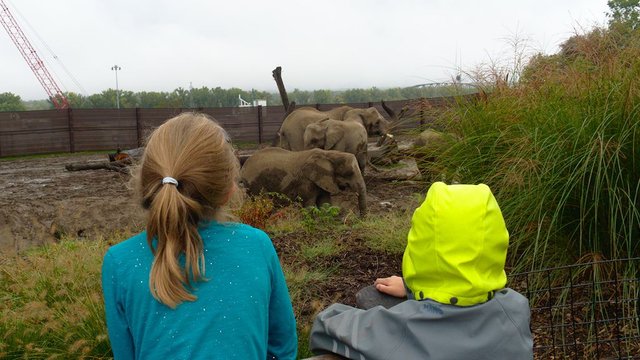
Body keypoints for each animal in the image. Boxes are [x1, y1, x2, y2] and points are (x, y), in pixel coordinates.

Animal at [240, 147, 368, 217]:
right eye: (349, 173)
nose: (360, 219)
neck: (328, 154)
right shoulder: (306, 181)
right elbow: (309, 204)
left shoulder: (322, 180)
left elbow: (325, 203)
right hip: (255, 184)